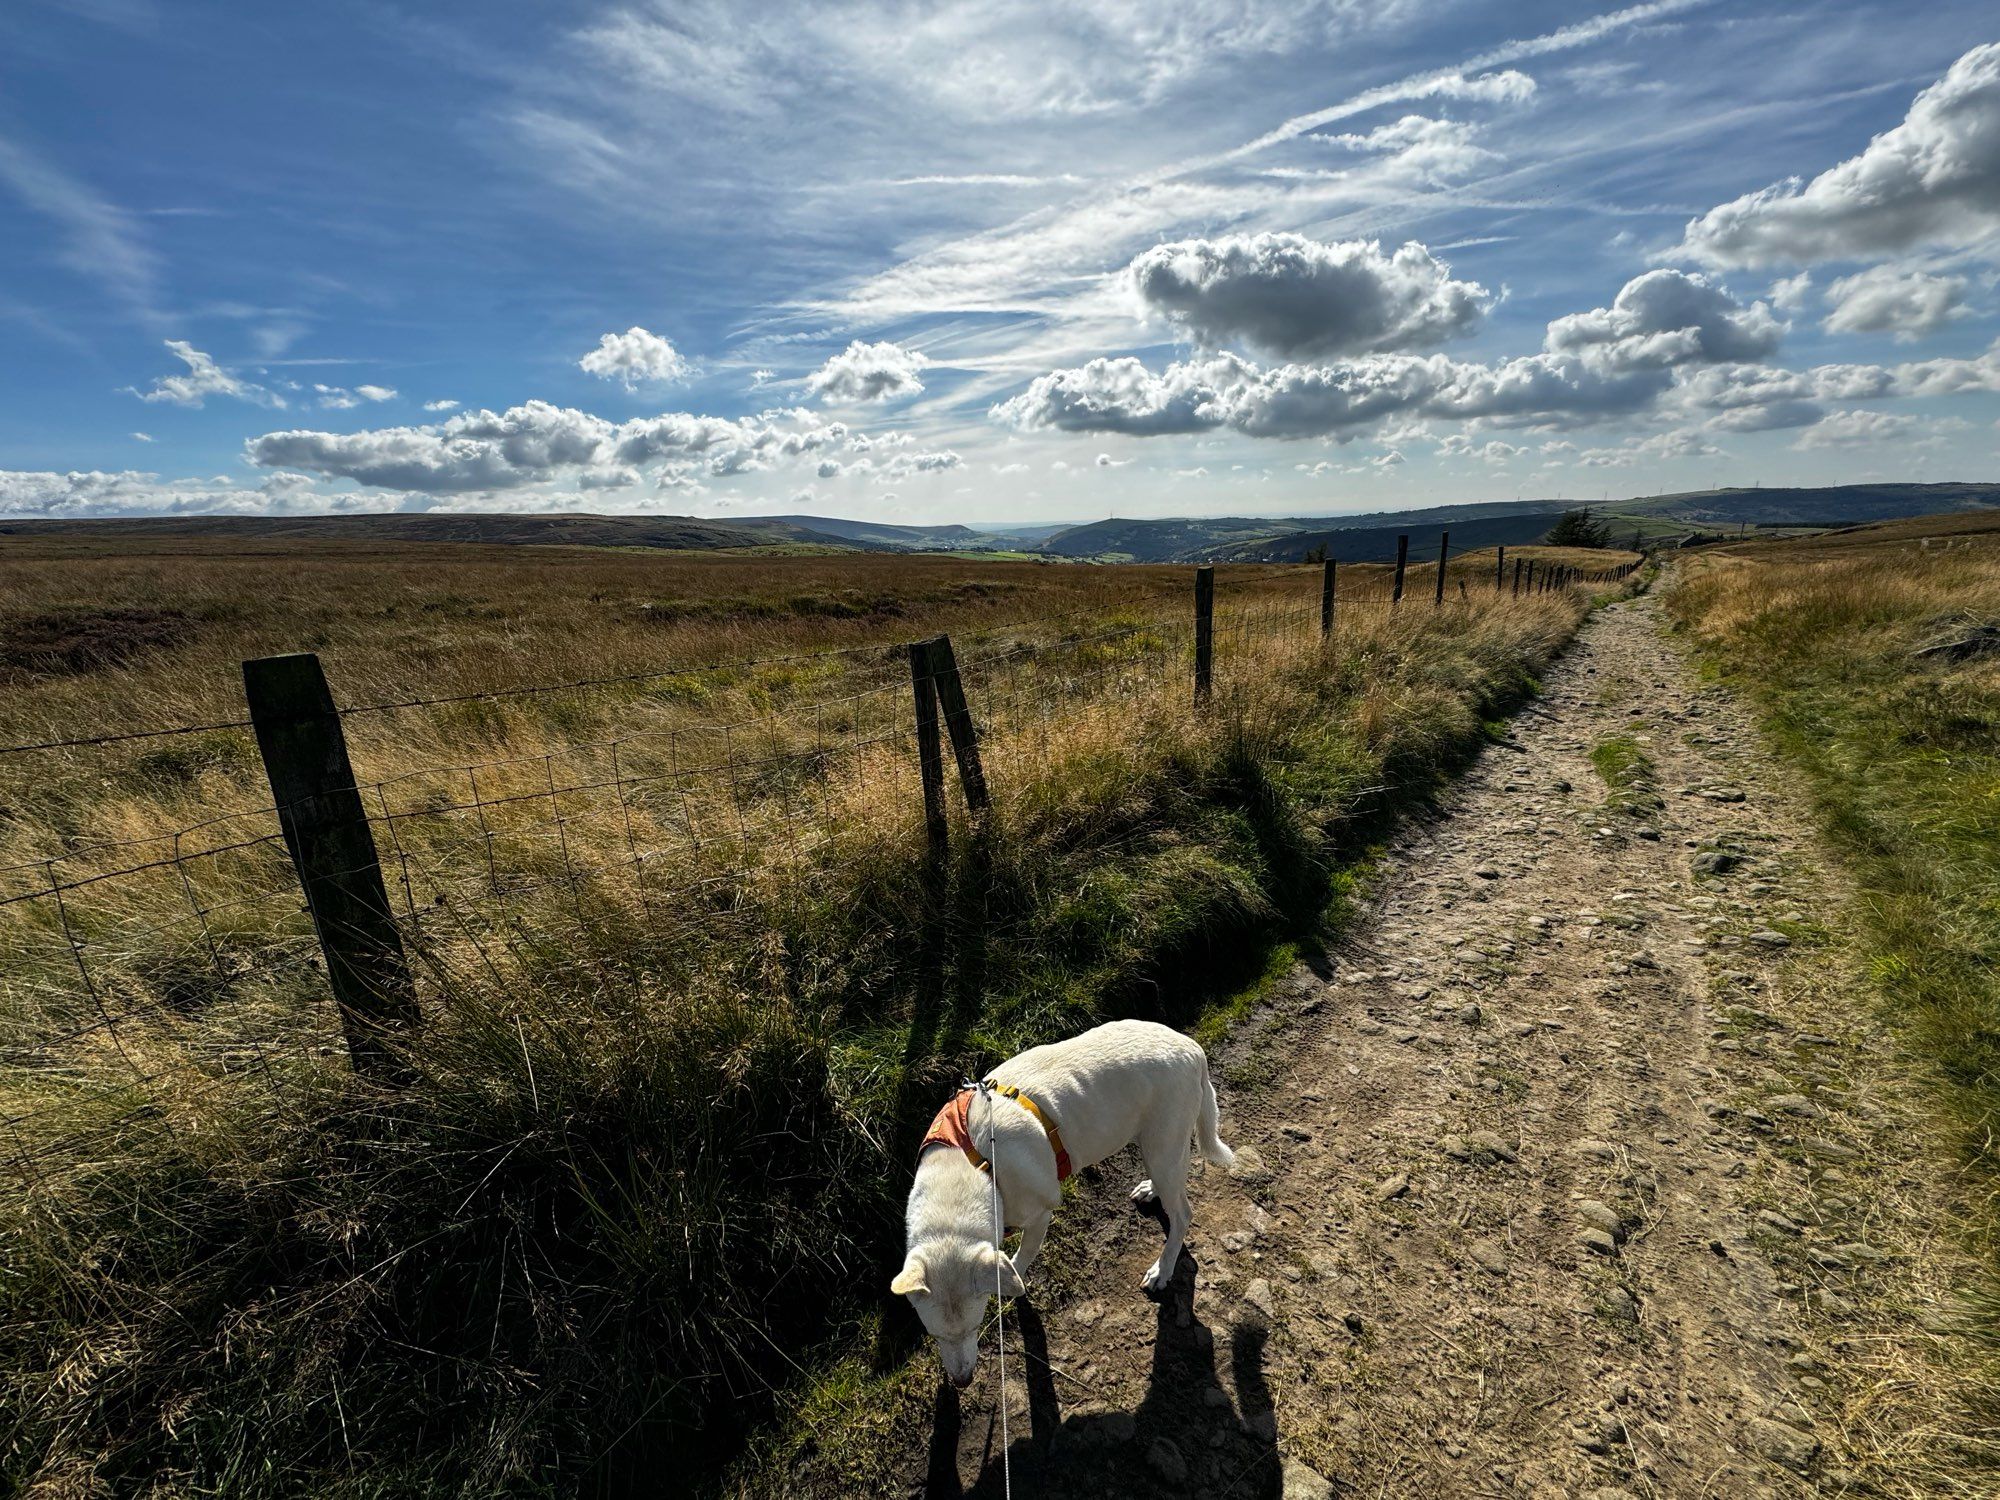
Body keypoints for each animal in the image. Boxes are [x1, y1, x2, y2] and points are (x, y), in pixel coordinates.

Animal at [892, 1024, 1232, 1384]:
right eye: (935, 1335)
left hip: (1165, 1144)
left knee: (1182, 1214)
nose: (962, 1381)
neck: (974, 1164)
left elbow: (1020, 1260)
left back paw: (1162, 1269)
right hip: (1154, 1147)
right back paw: (1150, 1190)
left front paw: (1013, 1283)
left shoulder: (1039, 1216)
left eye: (975, 1326)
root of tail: (1192, 1049)